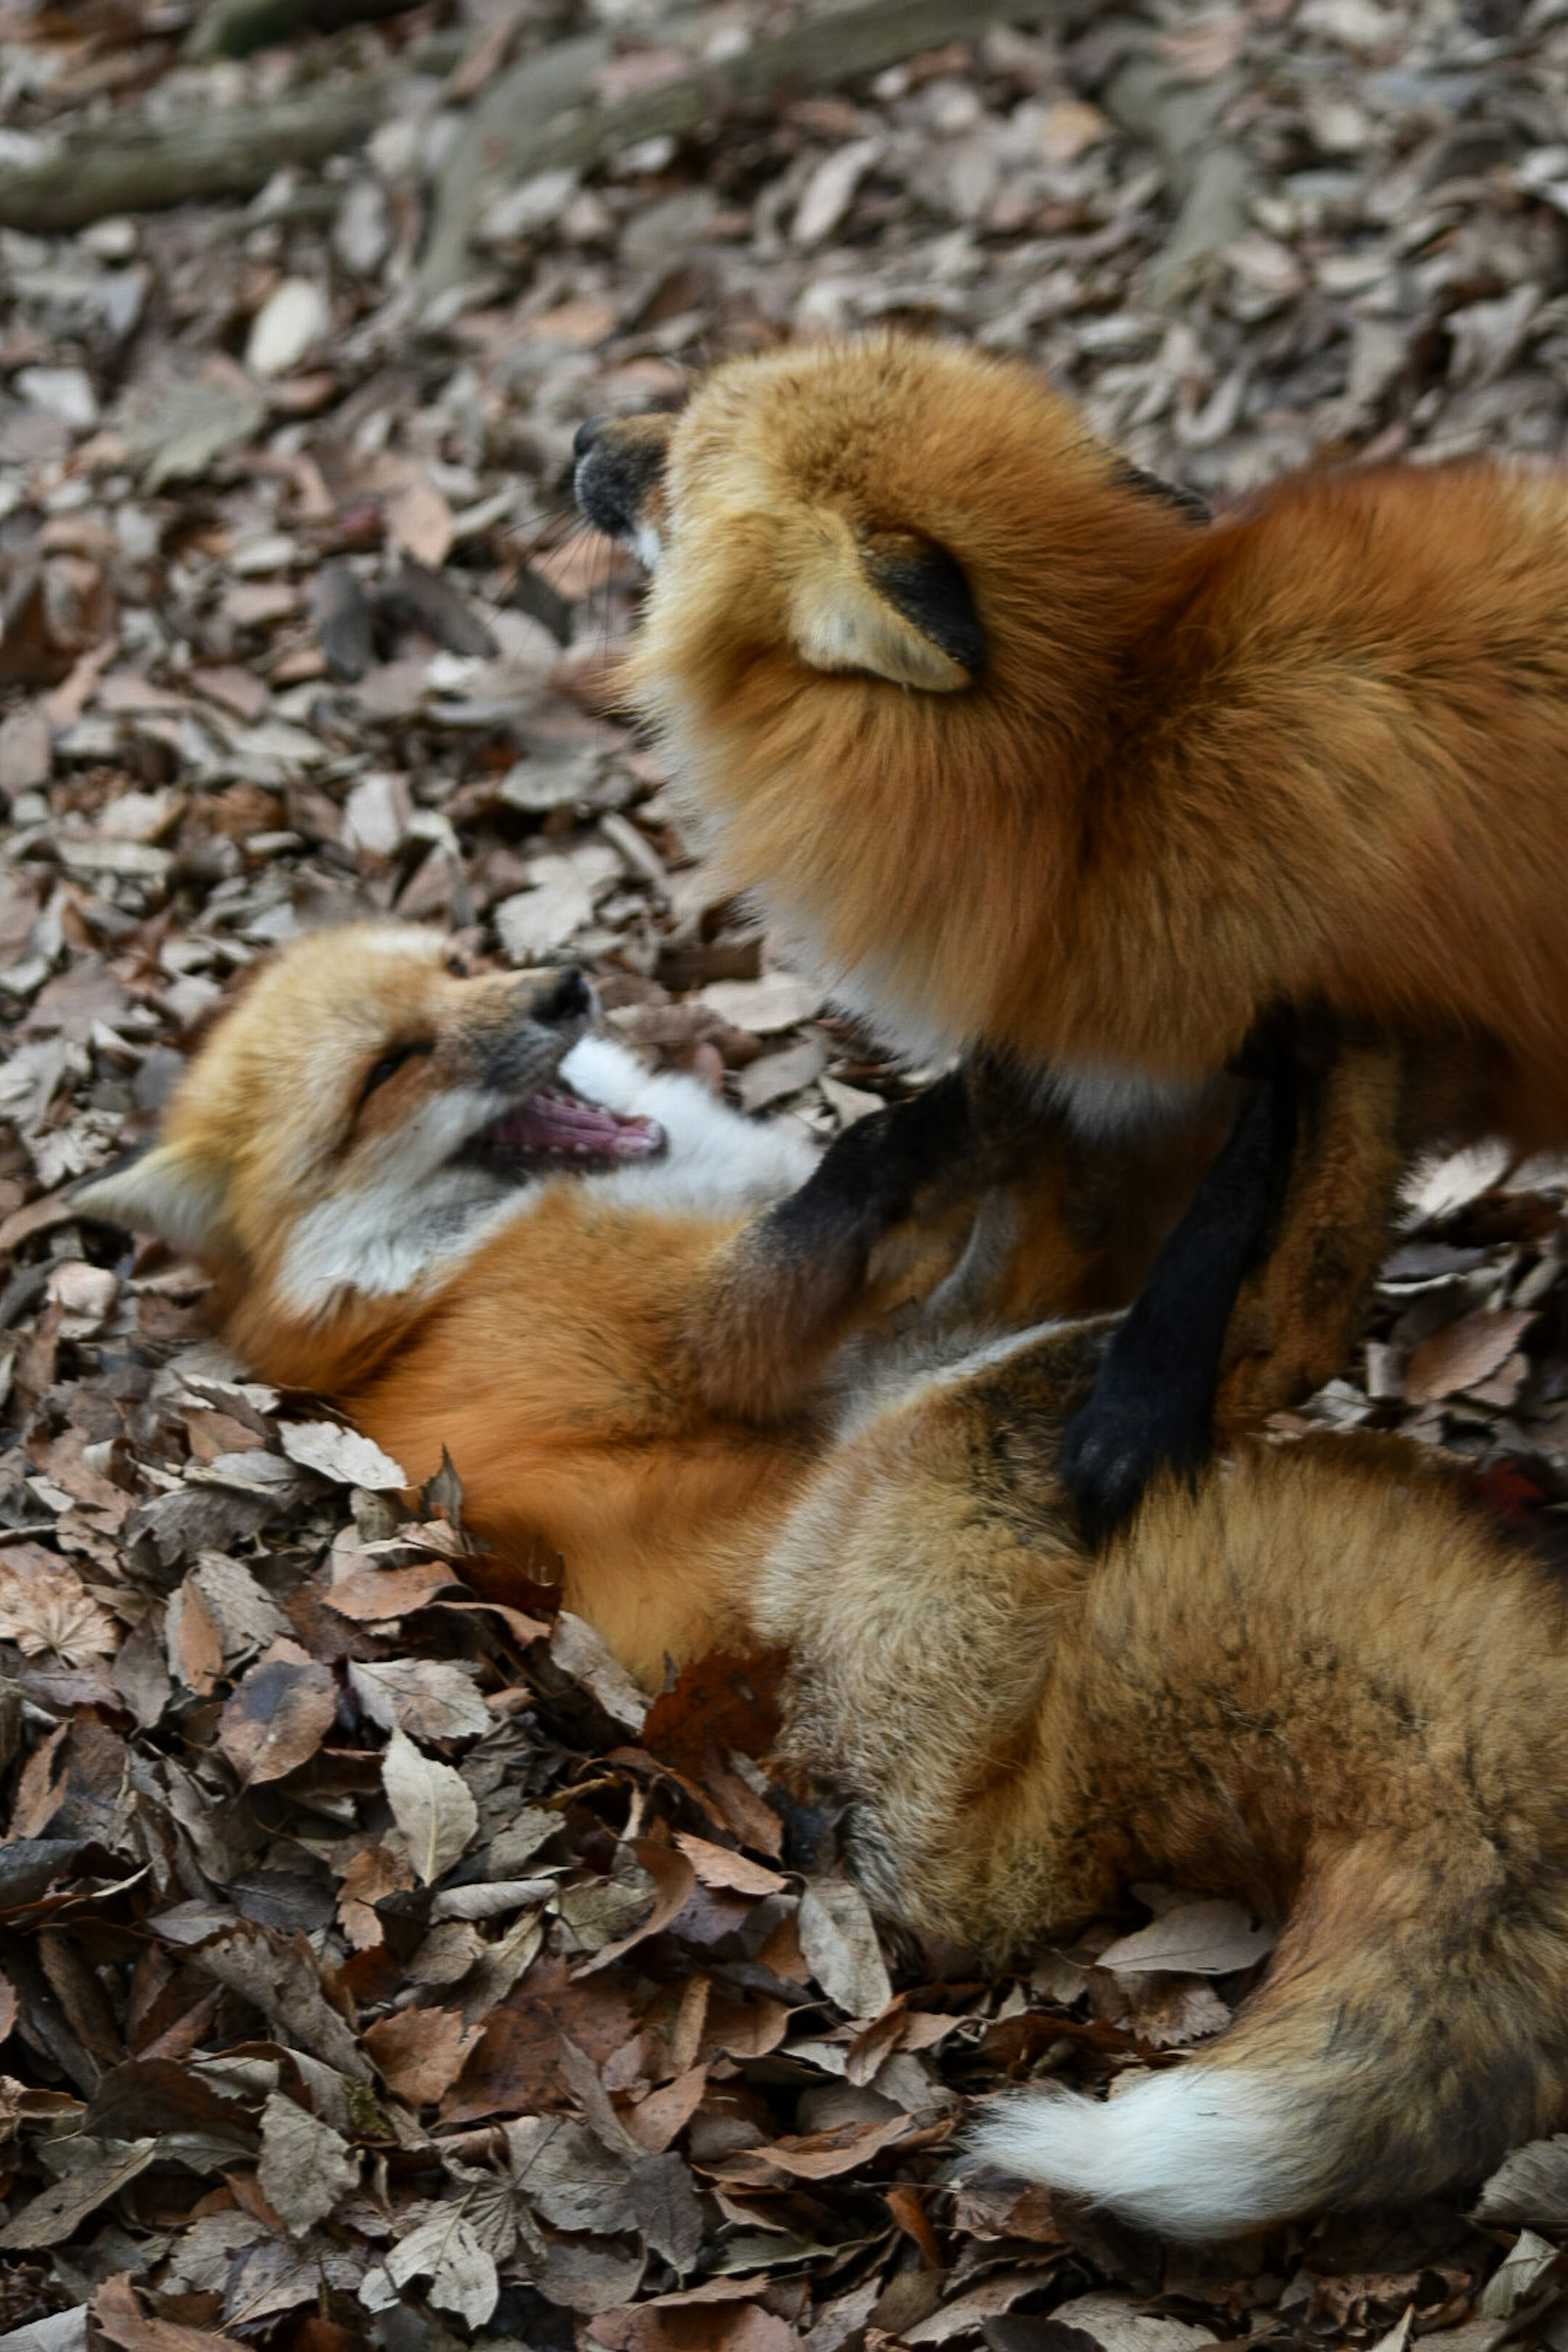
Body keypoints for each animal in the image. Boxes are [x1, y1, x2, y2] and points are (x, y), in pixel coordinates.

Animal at [76, 917, 1568, 2239]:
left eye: (459, 965)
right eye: (391, 1066)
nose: (565, 985)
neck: (438, 1264)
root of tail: (996, 1874)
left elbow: (1023, 1210)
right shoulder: (716, 1323)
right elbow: (852, 1176)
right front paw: (979, 1092)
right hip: (937, 1431)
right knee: (1269, 1333)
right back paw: (1301, 1117)